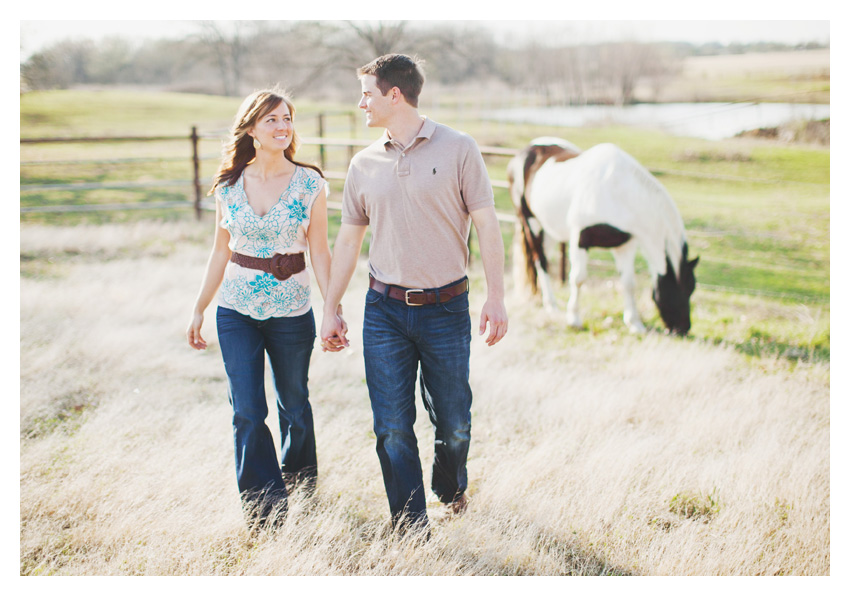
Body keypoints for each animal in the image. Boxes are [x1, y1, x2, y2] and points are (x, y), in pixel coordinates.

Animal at [506, 139, 700, 336]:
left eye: (692, 288)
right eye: (684, 288)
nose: (683, 329)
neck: (618, 191)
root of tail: (527, 150)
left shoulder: (625, 245)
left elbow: (628, 283)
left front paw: (635, 324)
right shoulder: (580, 238)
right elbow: (578, 279)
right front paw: (574, 319)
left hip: (551, 229)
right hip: (531, 221)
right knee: (540, 260)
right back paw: (551, 305)